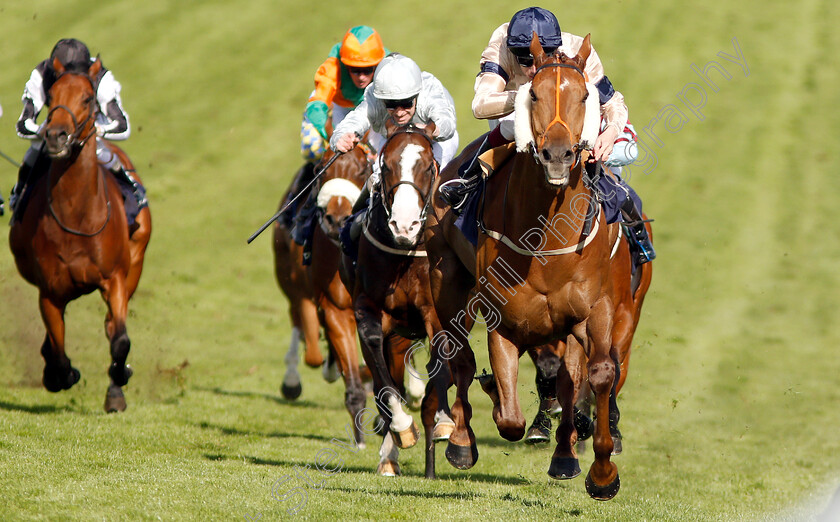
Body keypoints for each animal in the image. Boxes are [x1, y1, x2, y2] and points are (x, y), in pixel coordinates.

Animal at [8, 55, 152, 410]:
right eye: (52, 97)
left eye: (88, 98)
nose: (56, 136)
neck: (78, 216)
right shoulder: (49, 292)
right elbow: (58, 350)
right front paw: (61, 375)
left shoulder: (115, 279)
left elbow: (120, 340)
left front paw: (119, 383)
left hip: (135, 264)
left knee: (112, 327)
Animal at [342, 122, 456, 476]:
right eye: (386, 165)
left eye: (427, 166)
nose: (404, 225)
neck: (405, 252)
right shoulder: (368, 307)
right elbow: (382, 378)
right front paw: (402, 427)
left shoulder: (433, 310)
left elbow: (441, 354)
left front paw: (444, 420)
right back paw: (390, 454)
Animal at [430, 34, 628, 498]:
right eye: (534, 94)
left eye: (585, 95)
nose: (557, 155)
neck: (547, 238)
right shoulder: (503, 320)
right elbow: (509, 419)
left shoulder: (594, 311)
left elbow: (598, 374)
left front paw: (600, 472)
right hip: (446, 278)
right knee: (459, 357)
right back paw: (461, 441)